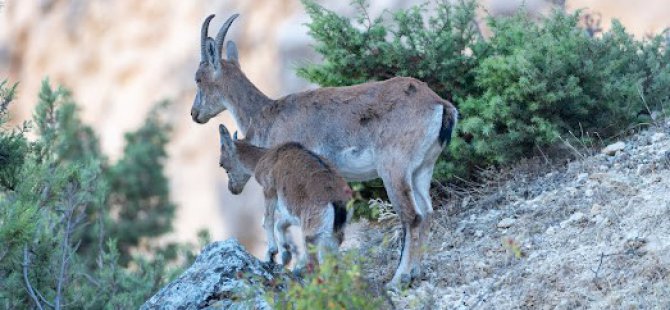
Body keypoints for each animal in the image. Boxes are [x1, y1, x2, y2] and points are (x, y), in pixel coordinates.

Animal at [219, 124, 356, 270]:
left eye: (221, 164)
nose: (232, 189)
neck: (264, 157)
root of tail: (337, 203)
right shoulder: (292, 212)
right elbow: (281, 223)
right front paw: (285, 254)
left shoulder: (269, 189)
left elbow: (268, 220)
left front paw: (272, 253)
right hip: (334, 238)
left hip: (311, 237)